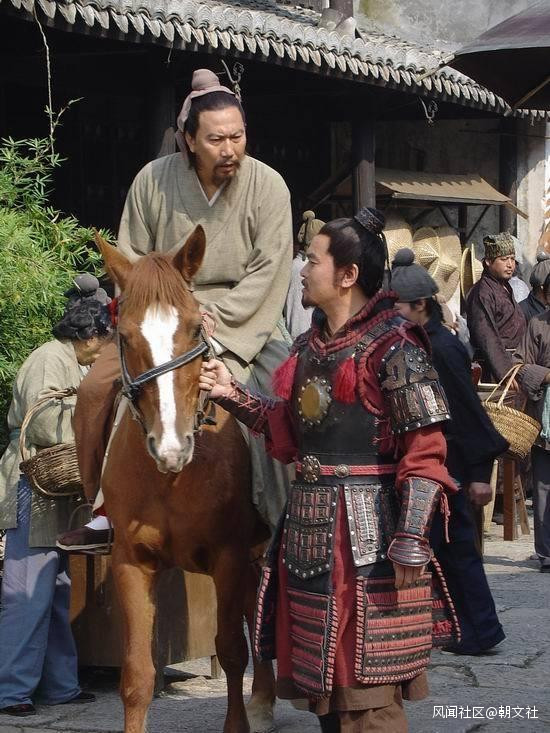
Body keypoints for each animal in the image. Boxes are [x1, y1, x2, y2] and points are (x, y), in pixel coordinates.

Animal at [94, 228, 276, 733]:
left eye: (196, 329)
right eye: (124, 335)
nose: (170, 446)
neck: (174, 477)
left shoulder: (229, 556)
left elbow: (231, 651)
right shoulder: (131, 561)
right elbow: (137, 675)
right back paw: (263, 701)